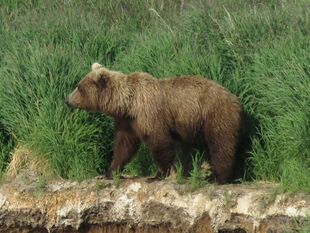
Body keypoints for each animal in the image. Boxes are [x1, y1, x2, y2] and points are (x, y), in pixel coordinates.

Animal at [66, 62, 245, 183]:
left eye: (79, 87)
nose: (67, 100)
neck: (128, 104)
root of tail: (235, 99)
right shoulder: (127, 122)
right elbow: (124, 146)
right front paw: (110, 172)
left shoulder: (149, 113)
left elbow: (160, 143)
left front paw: (157, 174)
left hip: (215, 115)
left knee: (221, 145)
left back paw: (216, 177)